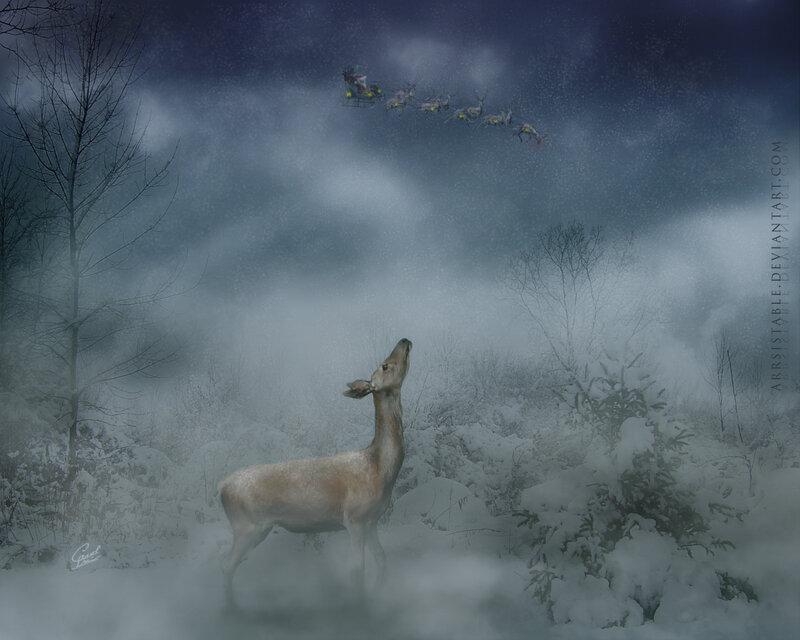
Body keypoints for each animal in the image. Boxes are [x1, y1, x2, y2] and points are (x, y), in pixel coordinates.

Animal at [217, 338, 412, 606]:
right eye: (384, 365)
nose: (405, 341)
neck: (380, 469)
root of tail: (221, 487)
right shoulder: (354, 518)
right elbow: (357, 569)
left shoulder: (372, 520)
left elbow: (382, 564)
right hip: (247, 525)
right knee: (226, 566)